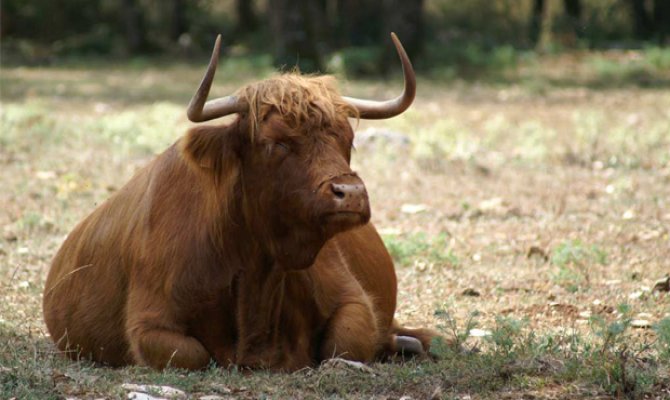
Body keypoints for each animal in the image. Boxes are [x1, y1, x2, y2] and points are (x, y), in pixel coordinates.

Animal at [44, 32, 438, 370]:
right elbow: (191, 354)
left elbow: (347, 341)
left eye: (347, 138)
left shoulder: (352, 298)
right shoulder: (150, 322)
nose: (350, 193)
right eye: (276, 142)